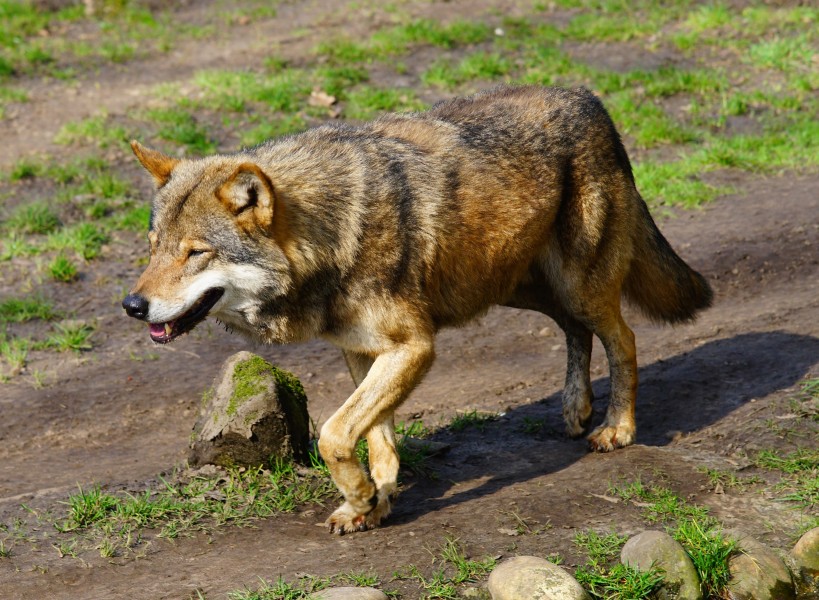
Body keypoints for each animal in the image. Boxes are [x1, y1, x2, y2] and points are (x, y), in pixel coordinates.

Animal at [121, 85, 712, 536]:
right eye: (152, 248)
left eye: (195, 253)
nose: (132, 305)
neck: (331, 232)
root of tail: (590, 100)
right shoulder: (363, 352)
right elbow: (374, 436)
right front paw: (373, 500)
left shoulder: (413, 346)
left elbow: (334, 434)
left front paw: (362, 496)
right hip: (514, 287)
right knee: (575, 330)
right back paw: (575, 408)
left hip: (576, 285)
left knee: (623, 339)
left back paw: (616, 428)